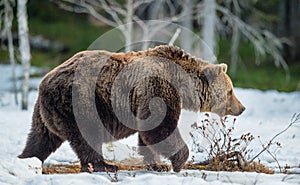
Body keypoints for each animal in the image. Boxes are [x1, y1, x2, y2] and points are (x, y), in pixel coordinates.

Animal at [18, 44, 244, 172]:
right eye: (231, 91)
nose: (241, 108)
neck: (181, 82)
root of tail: (44, 82)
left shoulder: (145, 98)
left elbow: (149, 133)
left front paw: (158, 165)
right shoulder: (158, 89)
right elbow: (161, 128)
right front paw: (178, 161)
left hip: (45, 112)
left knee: (40, 138)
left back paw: (27, 159)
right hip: (80, 102)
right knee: (87, 136)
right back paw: (103, 165)